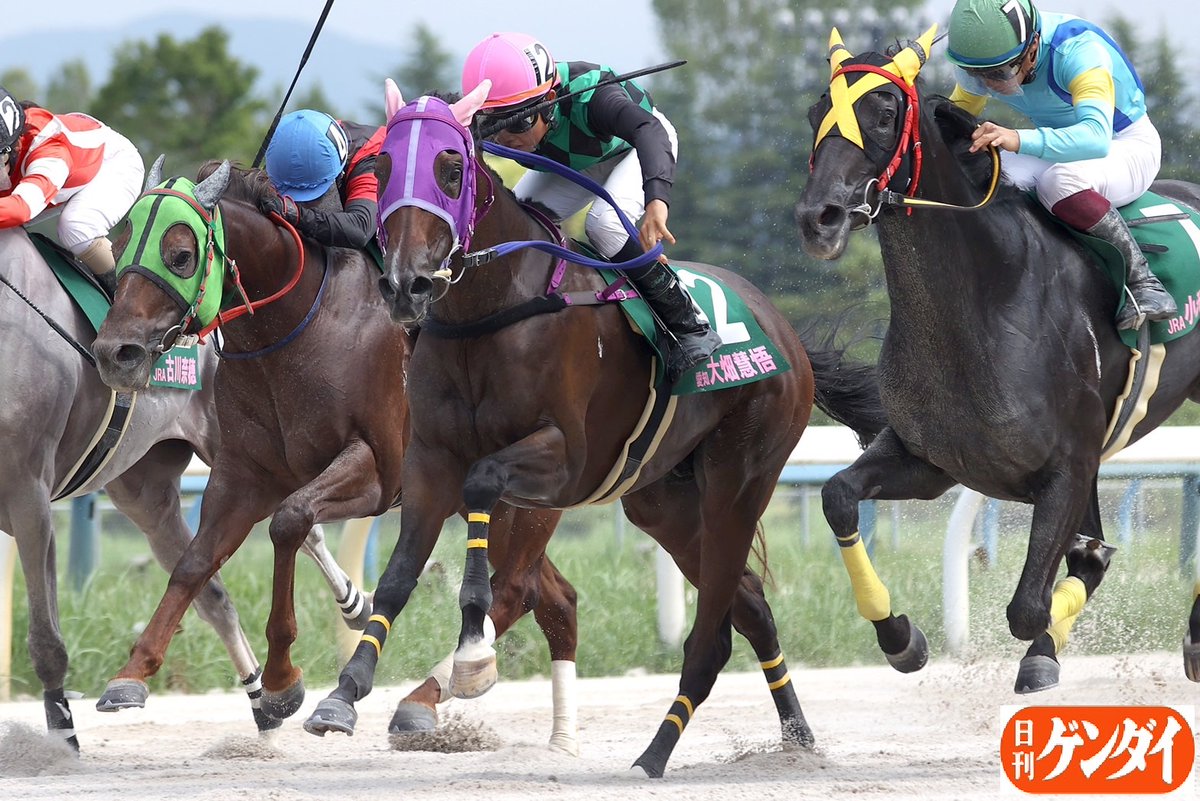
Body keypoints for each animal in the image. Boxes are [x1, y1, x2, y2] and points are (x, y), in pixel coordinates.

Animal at [0, 223, 371, 749]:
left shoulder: (28, 492)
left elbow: (46, 639)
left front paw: (63, 742)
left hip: (242, 457)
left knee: (305, 528)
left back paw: (352, 602)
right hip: (144, 492)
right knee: (213, 594)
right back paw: (262, 703)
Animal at [88, 158, 586, 753]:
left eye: (180, 255)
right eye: (119, 248)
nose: (114, 352)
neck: (294, 329)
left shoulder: (375, 470)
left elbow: (289, 521)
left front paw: (282, 680)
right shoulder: (242, 475)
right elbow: (193, 563)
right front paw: (132, 673)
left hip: (526, 495)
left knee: (514, 587)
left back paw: (441, 691)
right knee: (553, 597)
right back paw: (555, 736)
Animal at [300, 82, 888, 779]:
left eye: (450, 169)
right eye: (385, 167)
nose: (405, 284)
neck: (492, 309)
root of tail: (786, 332)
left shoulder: (563, 461)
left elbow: (485, 491)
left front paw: (472, 654)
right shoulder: (429, 459)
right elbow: (397, 575)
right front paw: (343, 693)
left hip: (740, 479)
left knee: (712, 625)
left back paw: (655, 754)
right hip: (662, 501)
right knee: (750, 604)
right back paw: (797, 737)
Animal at [794, 26, 1200, 692]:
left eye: (884, 114)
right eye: (814, 115)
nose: (817, 219)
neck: (988, 301)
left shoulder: (1068, 467)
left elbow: (1029, 605)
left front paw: (1040, 649)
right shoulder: (934, 460)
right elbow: (837, 496)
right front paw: (901, 636)